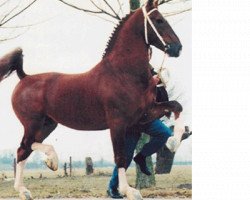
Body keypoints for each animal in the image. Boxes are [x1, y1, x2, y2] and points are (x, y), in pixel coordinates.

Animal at [0, 0, 183, 199]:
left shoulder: (143, 116)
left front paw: (173, 142)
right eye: (159, 20)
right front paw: (128, 190)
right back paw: (40, 172)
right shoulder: (118, 123)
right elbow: (120, 157)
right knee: (23, 147)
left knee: (24, 149)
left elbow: (176, 106)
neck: (122, 73)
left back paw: (35, 179)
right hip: (33, 123)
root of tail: (24, 77)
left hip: (48, 124)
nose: (177, 48)